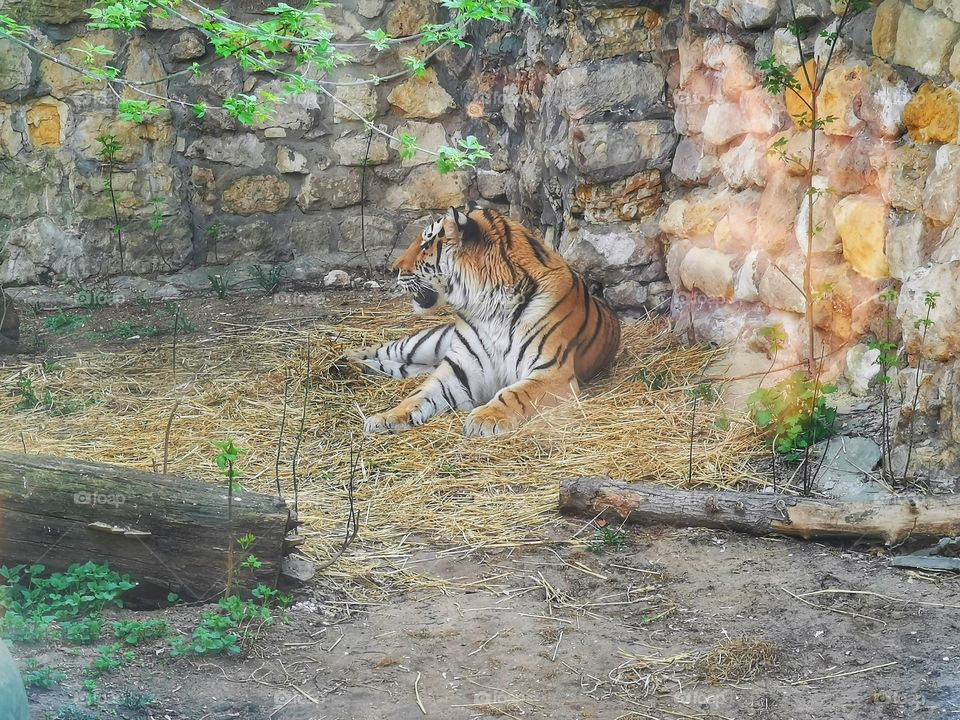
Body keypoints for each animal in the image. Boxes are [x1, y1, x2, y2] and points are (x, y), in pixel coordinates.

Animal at [347, 205, 621, 437]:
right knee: (386, 349)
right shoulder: (459, 368)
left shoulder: (552, 372)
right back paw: (348, 359)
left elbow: (514, 393)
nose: (393, 269)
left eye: (425, 244)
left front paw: (486, 418)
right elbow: (420, 393)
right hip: (426, 343)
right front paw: (385, 417)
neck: (490, 305)